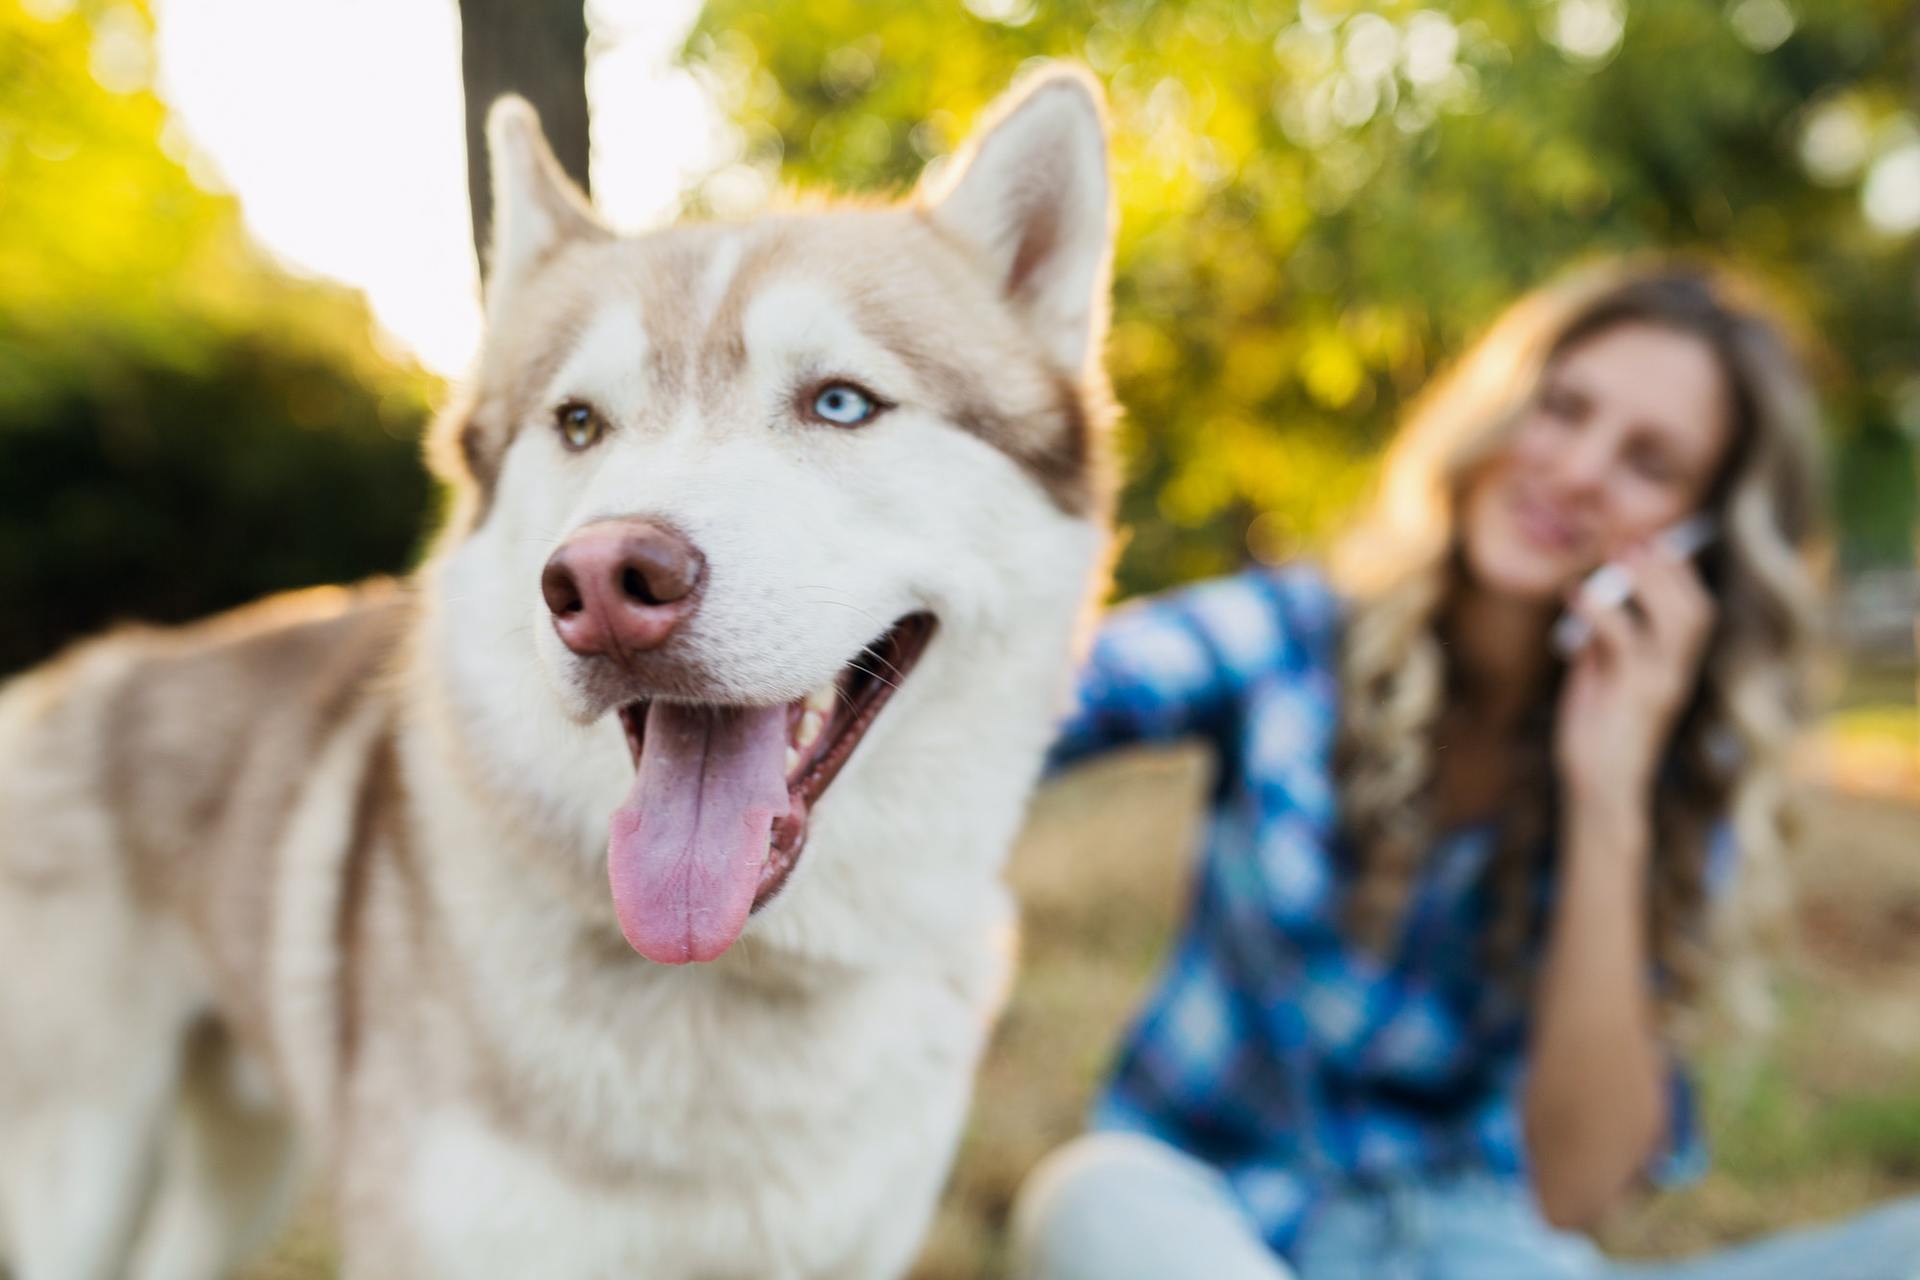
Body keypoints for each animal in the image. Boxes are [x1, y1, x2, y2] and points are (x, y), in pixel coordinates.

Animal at [0, 65, 1113, 1274]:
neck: (731, 989)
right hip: (84, 1171)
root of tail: (62, 677)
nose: (605, 580)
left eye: (841, 402)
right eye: (579, 422)